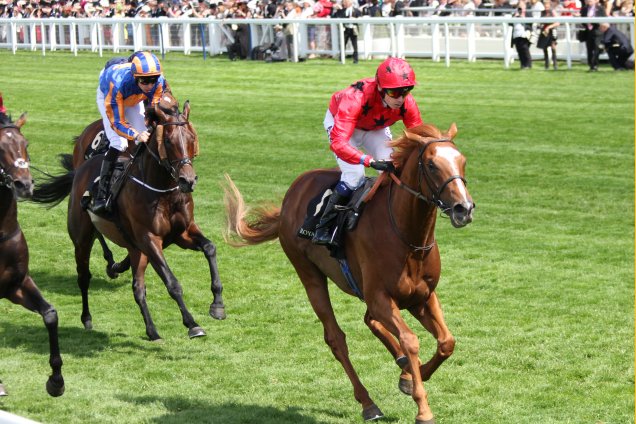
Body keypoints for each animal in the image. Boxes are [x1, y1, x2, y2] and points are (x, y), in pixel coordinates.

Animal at [32, 93, 227, 342]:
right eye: (169, 141)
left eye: (192, 138)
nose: (188, 180)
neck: (163, 191)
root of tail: (81, 169)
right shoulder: (149, 239)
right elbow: (172, 282)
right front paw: (192, 324)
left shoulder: (182, 233)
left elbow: (210, 248)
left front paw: (217, 305)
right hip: (81, 238)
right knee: (84, 277)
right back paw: (87, 318)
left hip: (135, 250)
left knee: (137, 287)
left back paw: (151, 330)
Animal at [224, 122, 472, 424]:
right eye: (433, 165)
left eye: (462, 161)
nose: (464, 208)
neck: (407, 237)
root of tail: (290, 197)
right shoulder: (380, 297)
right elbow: (410, 340)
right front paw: (422, 406)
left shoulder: (421, 296)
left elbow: (447, 341)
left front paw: (412, 376)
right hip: (309, 275)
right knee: (336, 339)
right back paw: (368, 403)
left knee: (370, 321)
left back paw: (401, 367)